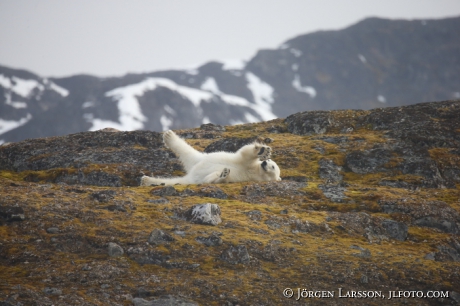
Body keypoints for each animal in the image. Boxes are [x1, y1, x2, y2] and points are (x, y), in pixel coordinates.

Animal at [138, 130, 282, 186]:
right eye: (271, 162)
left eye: (272, 167)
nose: (265, 163)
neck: (256, 171)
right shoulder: (246, 163)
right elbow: (244, 153)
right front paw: (263, 150)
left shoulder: (246, 175)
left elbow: (213, 180)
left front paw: (223, 174)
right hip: (201, 158)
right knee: (188, 151)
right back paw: (169, 136)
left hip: (191, 177)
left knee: (177, 180)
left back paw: (148, 180)